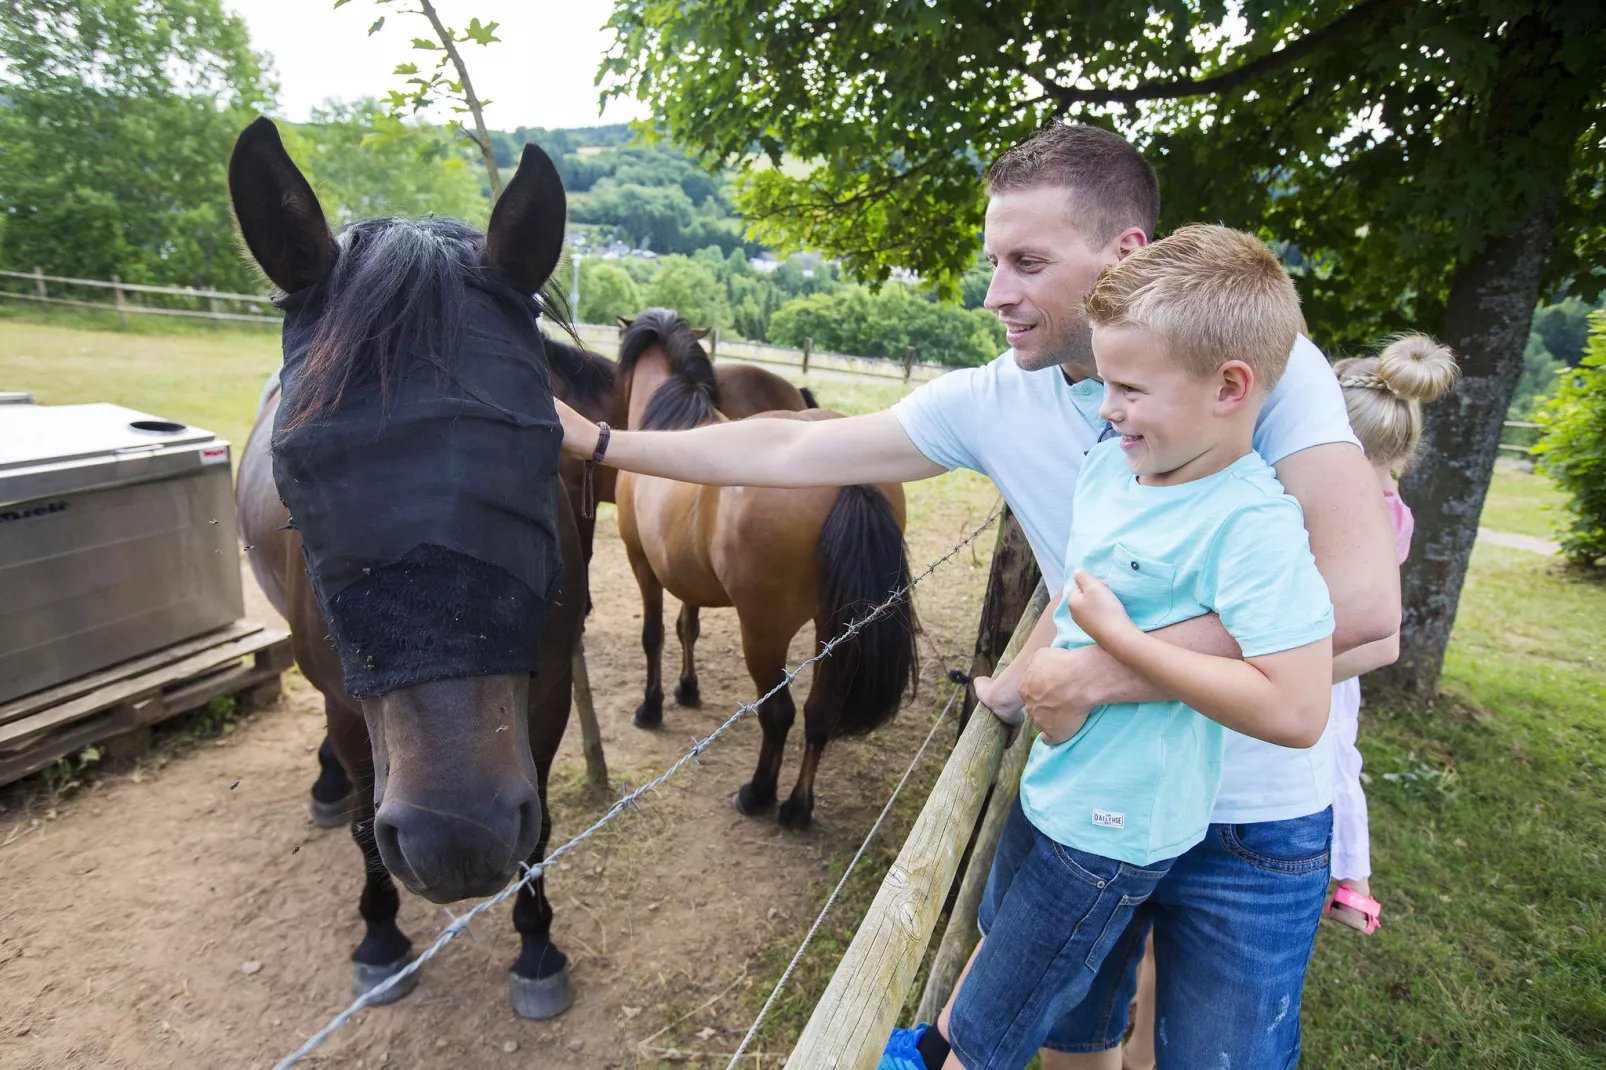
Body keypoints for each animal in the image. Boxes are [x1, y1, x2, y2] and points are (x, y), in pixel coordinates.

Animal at [613, 308, 918, 822]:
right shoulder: (686, 577)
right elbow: (686, 628)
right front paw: (687, 690)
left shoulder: (643, 565)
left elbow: (653, 636)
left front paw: (651, 708)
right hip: (835, 631)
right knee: (819, 713)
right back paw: (797, 806)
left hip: (764, 634)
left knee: (779, 715)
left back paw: (757, 794)